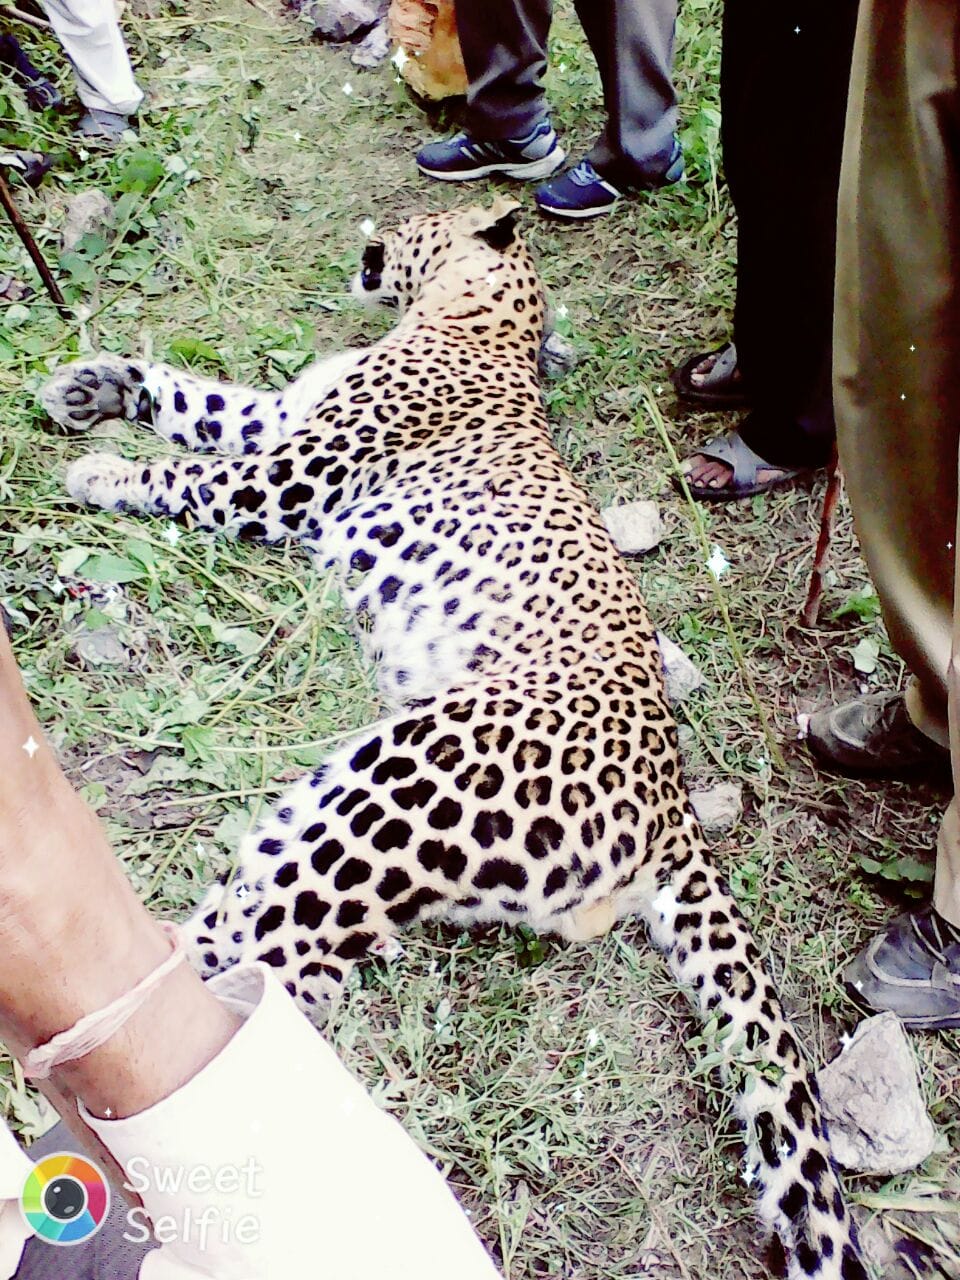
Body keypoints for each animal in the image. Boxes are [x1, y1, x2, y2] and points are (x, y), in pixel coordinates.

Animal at [42, 198, 868, 1280]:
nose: (375, 226)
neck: (474, 318)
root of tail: (676, 806)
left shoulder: (285, 473)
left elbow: (187, 470)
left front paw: (103, 467)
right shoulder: (277, 420)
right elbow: (194, 397)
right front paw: (90, 385)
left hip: (401, 779)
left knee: (272, 961)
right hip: (354, 792)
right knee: (281, 939)